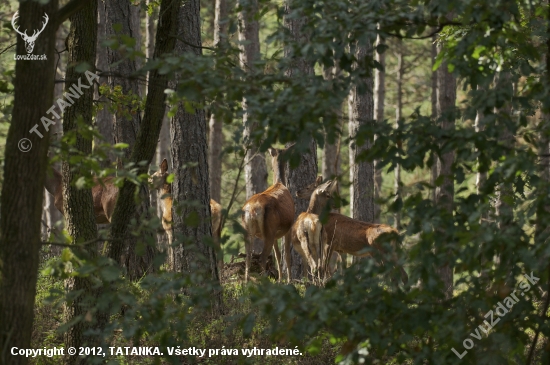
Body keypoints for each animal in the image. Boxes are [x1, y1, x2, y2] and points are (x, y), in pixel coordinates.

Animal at [244, 146, 298, 282]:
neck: (279, 183)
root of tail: (252, 210)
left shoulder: (275, 234)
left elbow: (278, 255)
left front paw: (280, 279)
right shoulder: (289, 226)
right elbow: (287, 255)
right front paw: (288, 280)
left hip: (249, 230)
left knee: (248, 256)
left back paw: (245, 283)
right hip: (269, 228)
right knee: (262, 258)